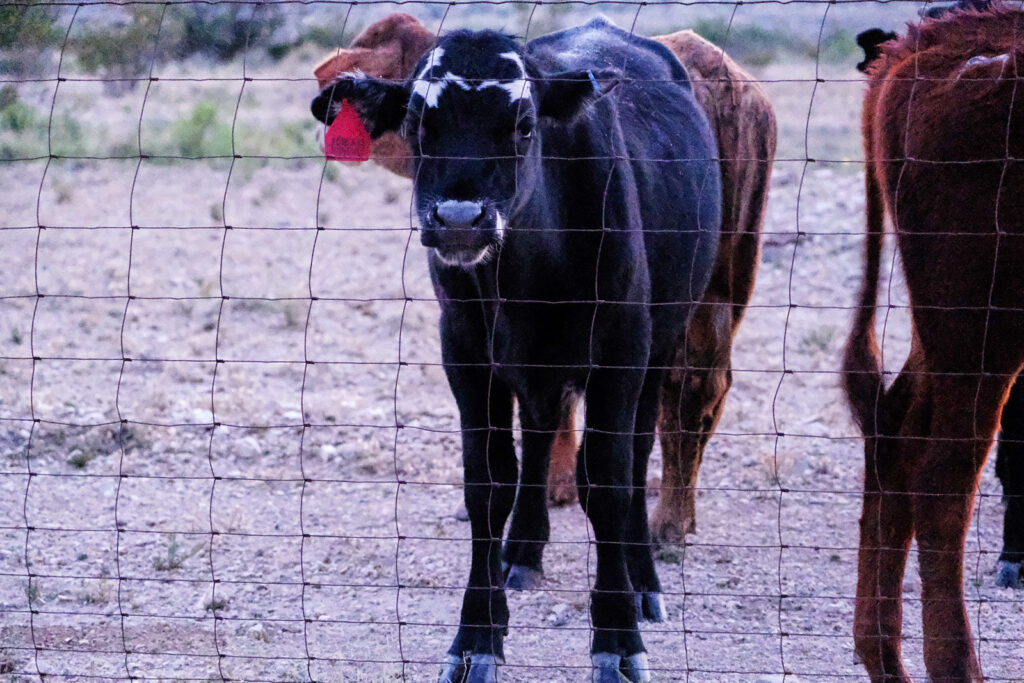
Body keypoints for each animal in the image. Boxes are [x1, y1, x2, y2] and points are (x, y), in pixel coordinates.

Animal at [311, 15, 720, 683]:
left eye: (524, 124)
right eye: (418, 122)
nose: (458, 219)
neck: (530, 274)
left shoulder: (622, 348)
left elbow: (608, 481)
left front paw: (617, 637)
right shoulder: (465, 351)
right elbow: (488, 483)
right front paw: (477, 634)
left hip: (662, 340)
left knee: (635, 455)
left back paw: (641, 581)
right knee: (540, 430)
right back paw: (523, 550)